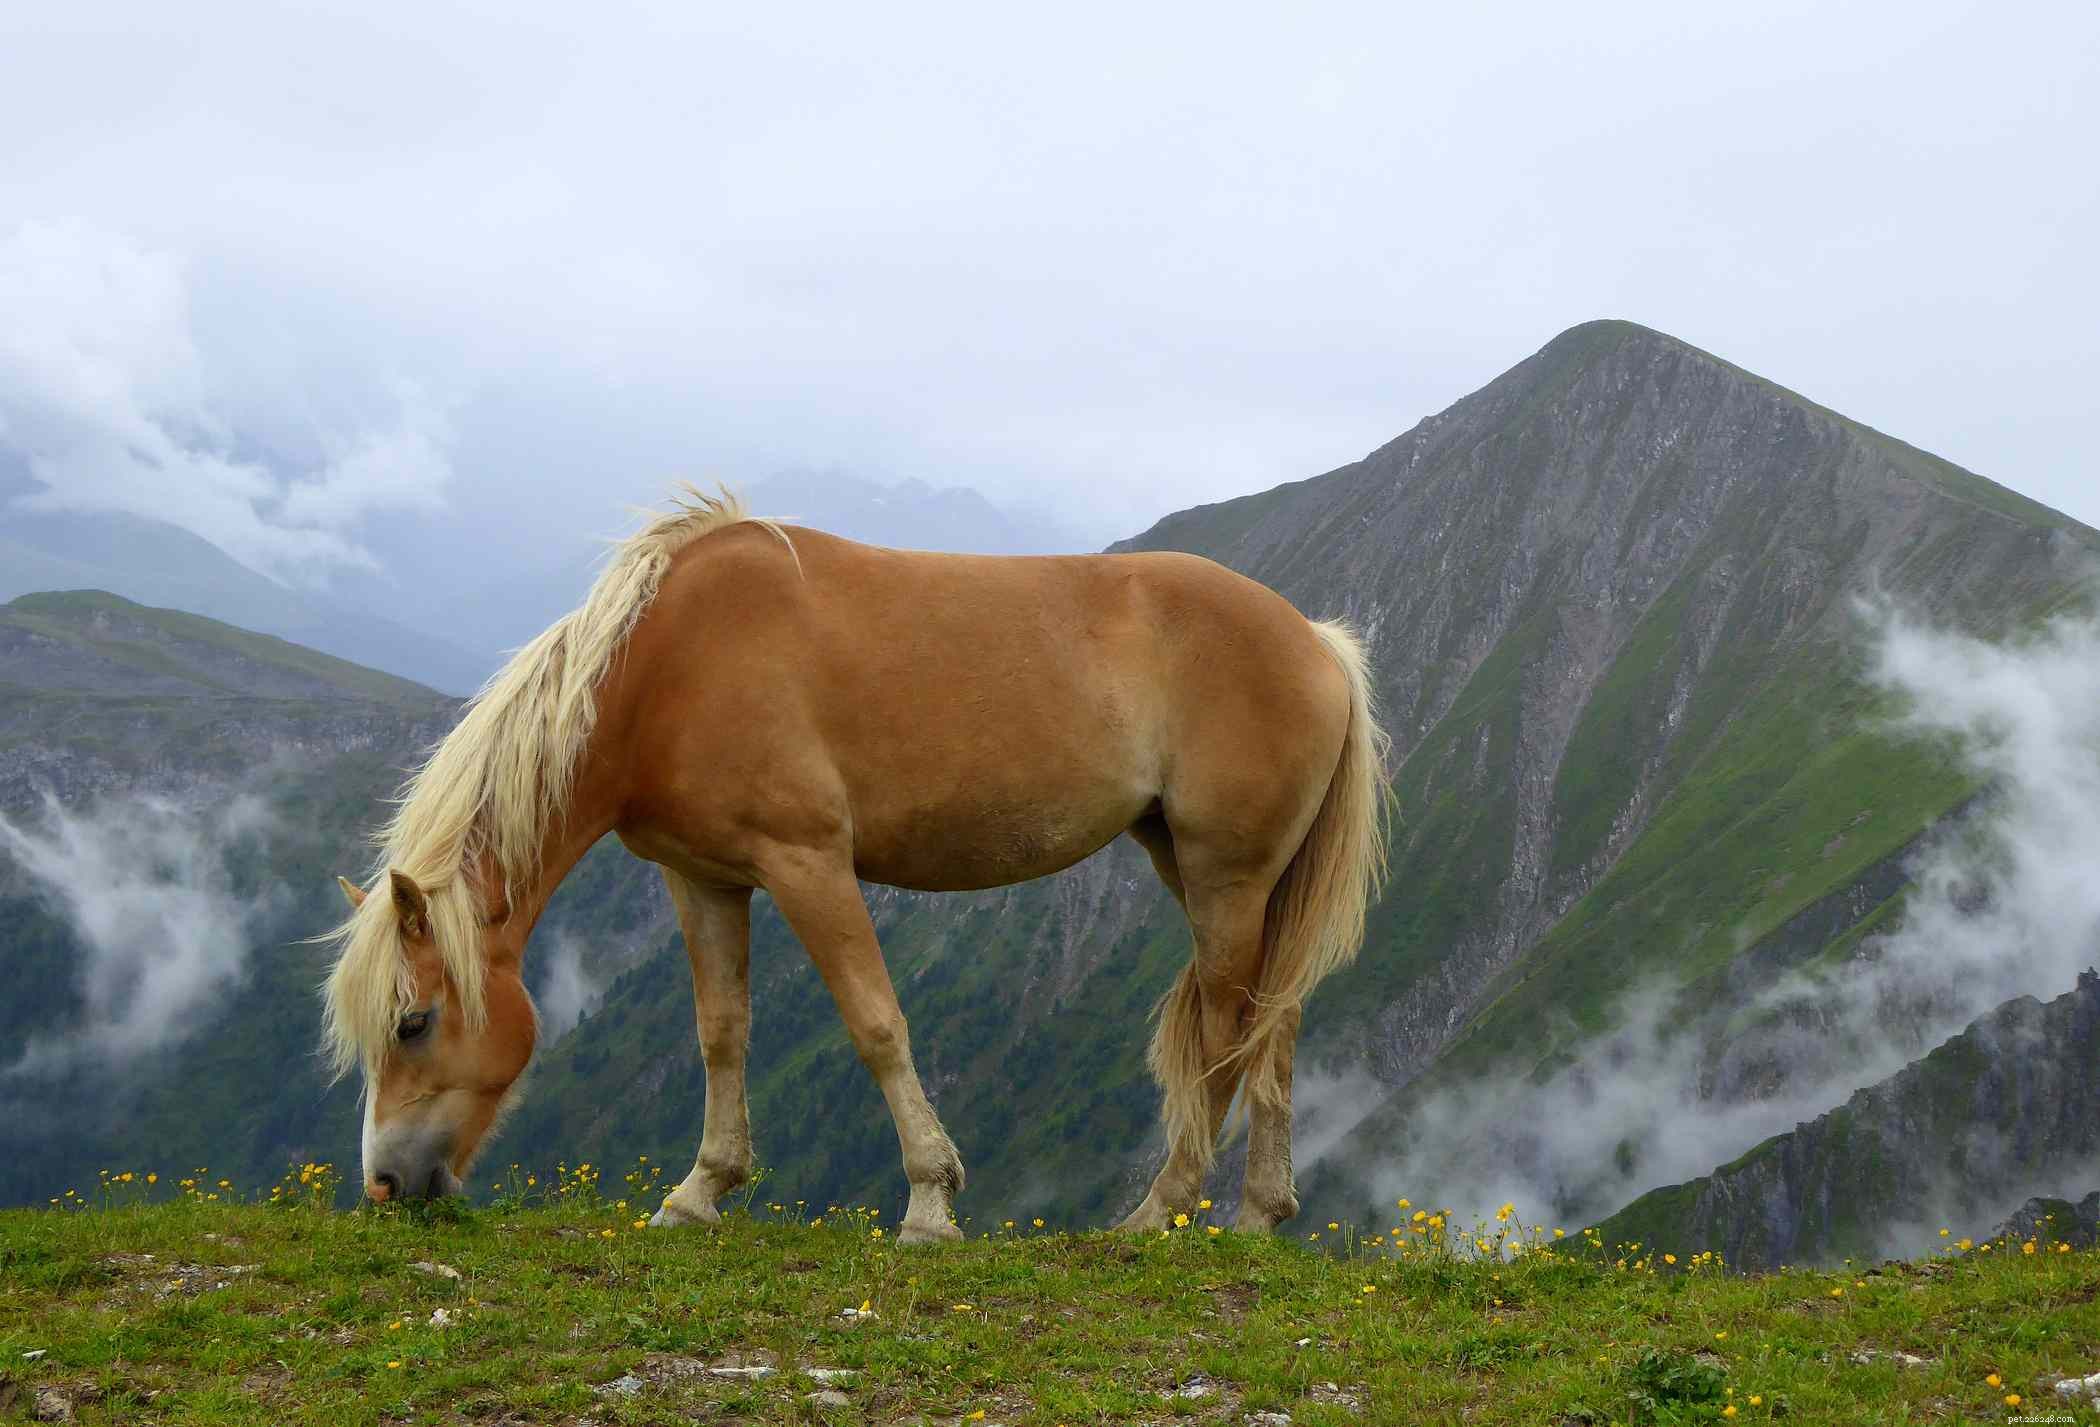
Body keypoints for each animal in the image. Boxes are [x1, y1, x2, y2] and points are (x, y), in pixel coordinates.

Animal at [323, 489, 1390, 1240]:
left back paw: (1157, 1211)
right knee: (1273, 1022)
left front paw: (929, 1202)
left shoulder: (808, 865)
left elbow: (876, 1023)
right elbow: (721, 1030)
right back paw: (1256, 1216)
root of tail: (1317, 641)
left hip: (1225, 877)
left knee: (1227, 1031)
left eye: (414, 1021)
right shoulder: (704, 878)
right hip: (1213, 875)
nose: (385, 1182)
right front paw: (699, 1190)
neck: (671, 664)